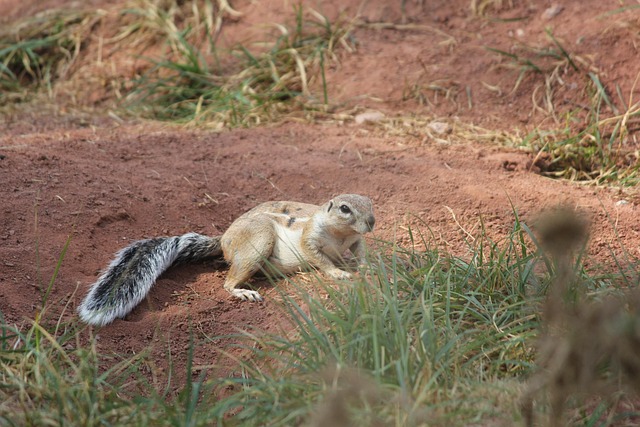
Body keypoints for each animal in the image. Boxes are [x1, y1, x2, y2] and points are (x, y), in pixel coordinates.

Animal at [78, 194, 375, 326]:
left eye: (370, 203)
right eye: (344, 208)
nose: (372, 221)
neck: (340, 236)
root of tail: (223, 240)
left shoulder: (355, 240)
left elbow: (361, 250)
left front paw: (366, 265)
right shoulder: (310, 238)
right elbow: (319, 258)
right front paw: (338, 273)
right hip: (259, 242)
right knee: (228, 281)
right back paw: (243, 291)